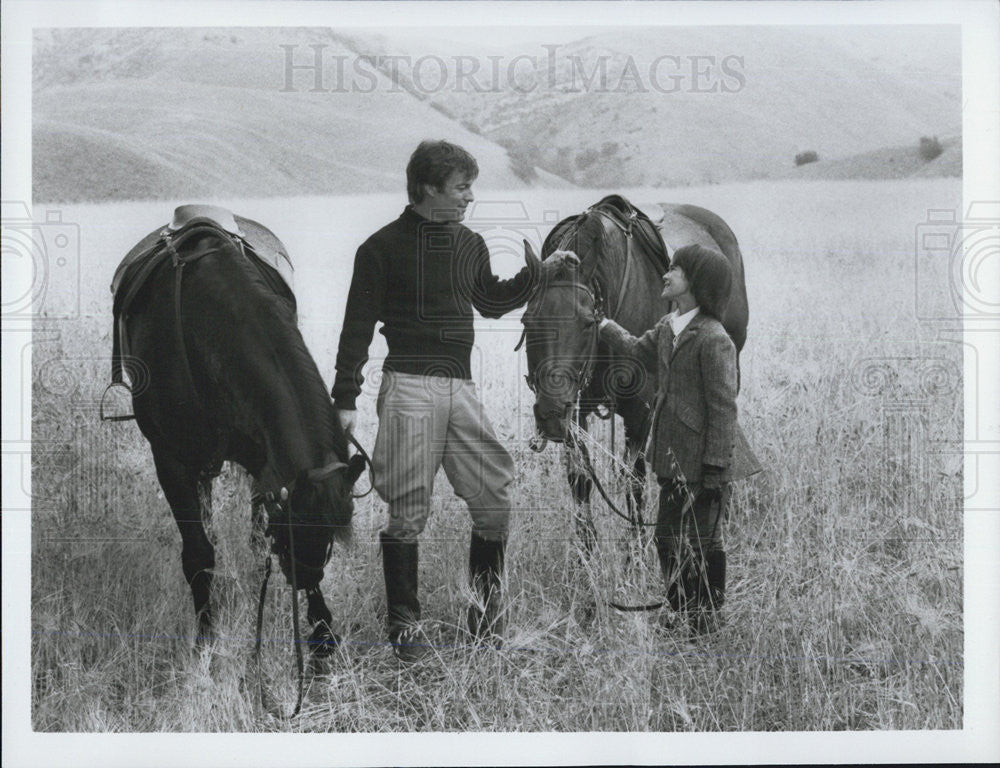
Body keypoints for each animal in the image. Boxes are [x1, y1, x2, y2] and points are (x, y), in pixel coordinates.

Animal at [110, 206, 368, 656]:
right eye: (291, 533)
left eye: (331, 535)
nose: (303, 577)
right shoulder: (171, 461)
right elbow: (198, 554)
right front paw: (205, 639)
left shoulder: (266, 461)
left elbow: (256, 528)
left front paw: (321, 631)